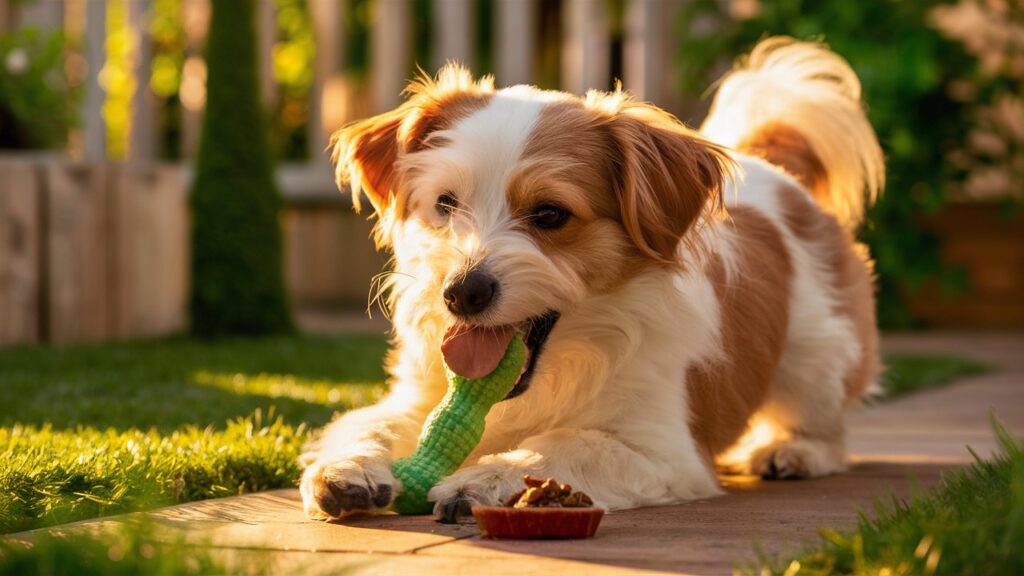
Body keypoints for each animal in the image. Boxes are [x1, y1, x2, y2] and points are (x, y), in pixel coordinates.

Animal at [299, 35, 884, 520]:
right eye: (445, 204)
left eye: (550, 214)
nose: (461, 292)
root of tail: (777, 170)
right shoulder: (420, 399)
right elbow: (365, 422)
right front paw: (348, 465)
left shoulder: (663, 449)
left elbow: (567, 444)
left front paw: (485, 478)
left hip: (820, 356)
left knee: (828, 424)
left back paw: (794, 450)